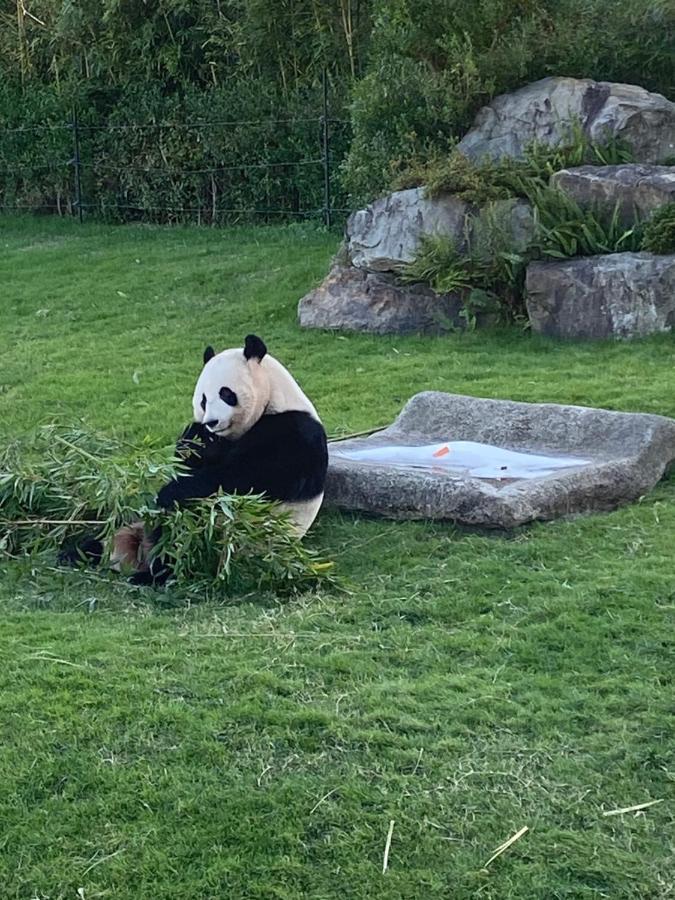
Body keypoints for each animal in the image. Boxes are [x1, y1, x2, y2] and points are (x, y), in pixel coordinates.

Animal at [59, 336, 328, 584]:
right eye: (203, 399)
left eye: (226, 393)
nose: (212, 422)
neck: (273, 399)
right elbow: (189, 459)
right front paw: (196, 439)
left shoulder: (295, 433)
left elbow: (246, 476)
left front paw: (171, 492)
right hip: (137, 523)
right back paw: (80, 552)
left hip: (219, 539)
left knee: (183, 531)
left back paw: (156, 573)